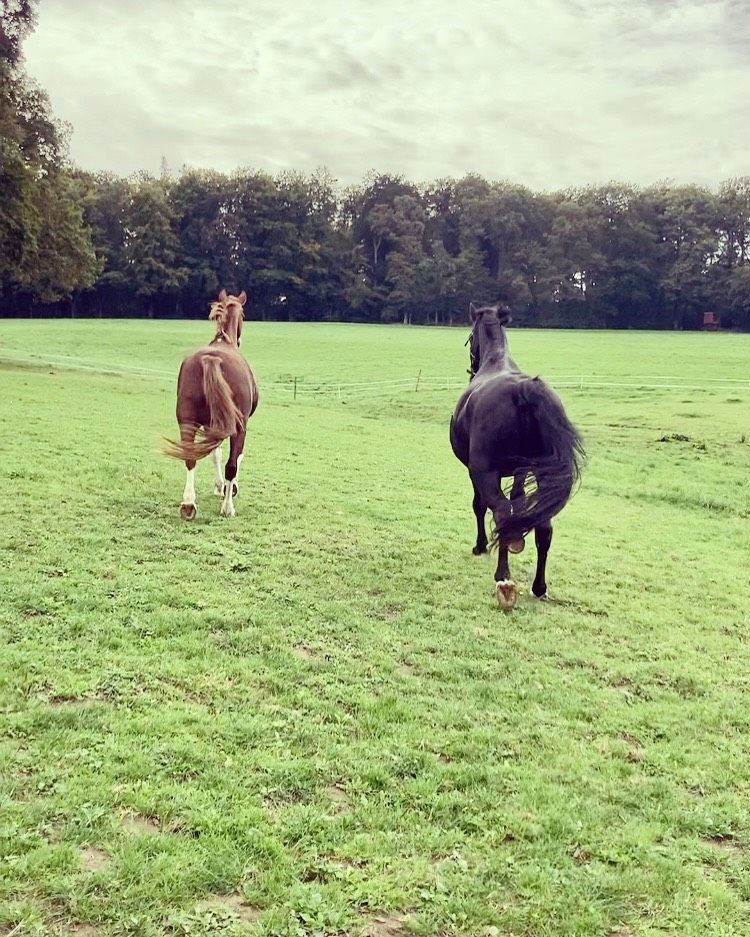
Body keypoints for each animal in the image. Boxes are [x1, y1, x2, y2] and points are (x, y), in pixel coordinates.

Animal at [164, 288, 258, 520]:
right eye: (244, 315)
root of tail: (211, 359)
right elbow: (236, 458)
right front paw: (229, 489)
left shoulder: (210, 425)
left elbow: (215, 453)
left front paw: (219, 486)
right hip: (238, 426)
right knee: (232, 464)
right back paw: (227, 507)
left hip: (187, 420)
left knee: (190, 457)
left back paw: (188, 504)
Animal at [450, 300, 584, 608]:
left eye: (470, 338)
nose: (470, 366)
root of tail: (525, 390)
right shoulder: (522, 471)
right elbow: (519, 500)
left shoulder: (476, 471)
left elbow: (479, 505)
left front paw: (480, 545)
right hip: (543, 476)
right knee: (544, 526)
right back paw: (539, 586)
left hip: (485, 472)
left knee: (501, 512)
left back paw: (503, 576)